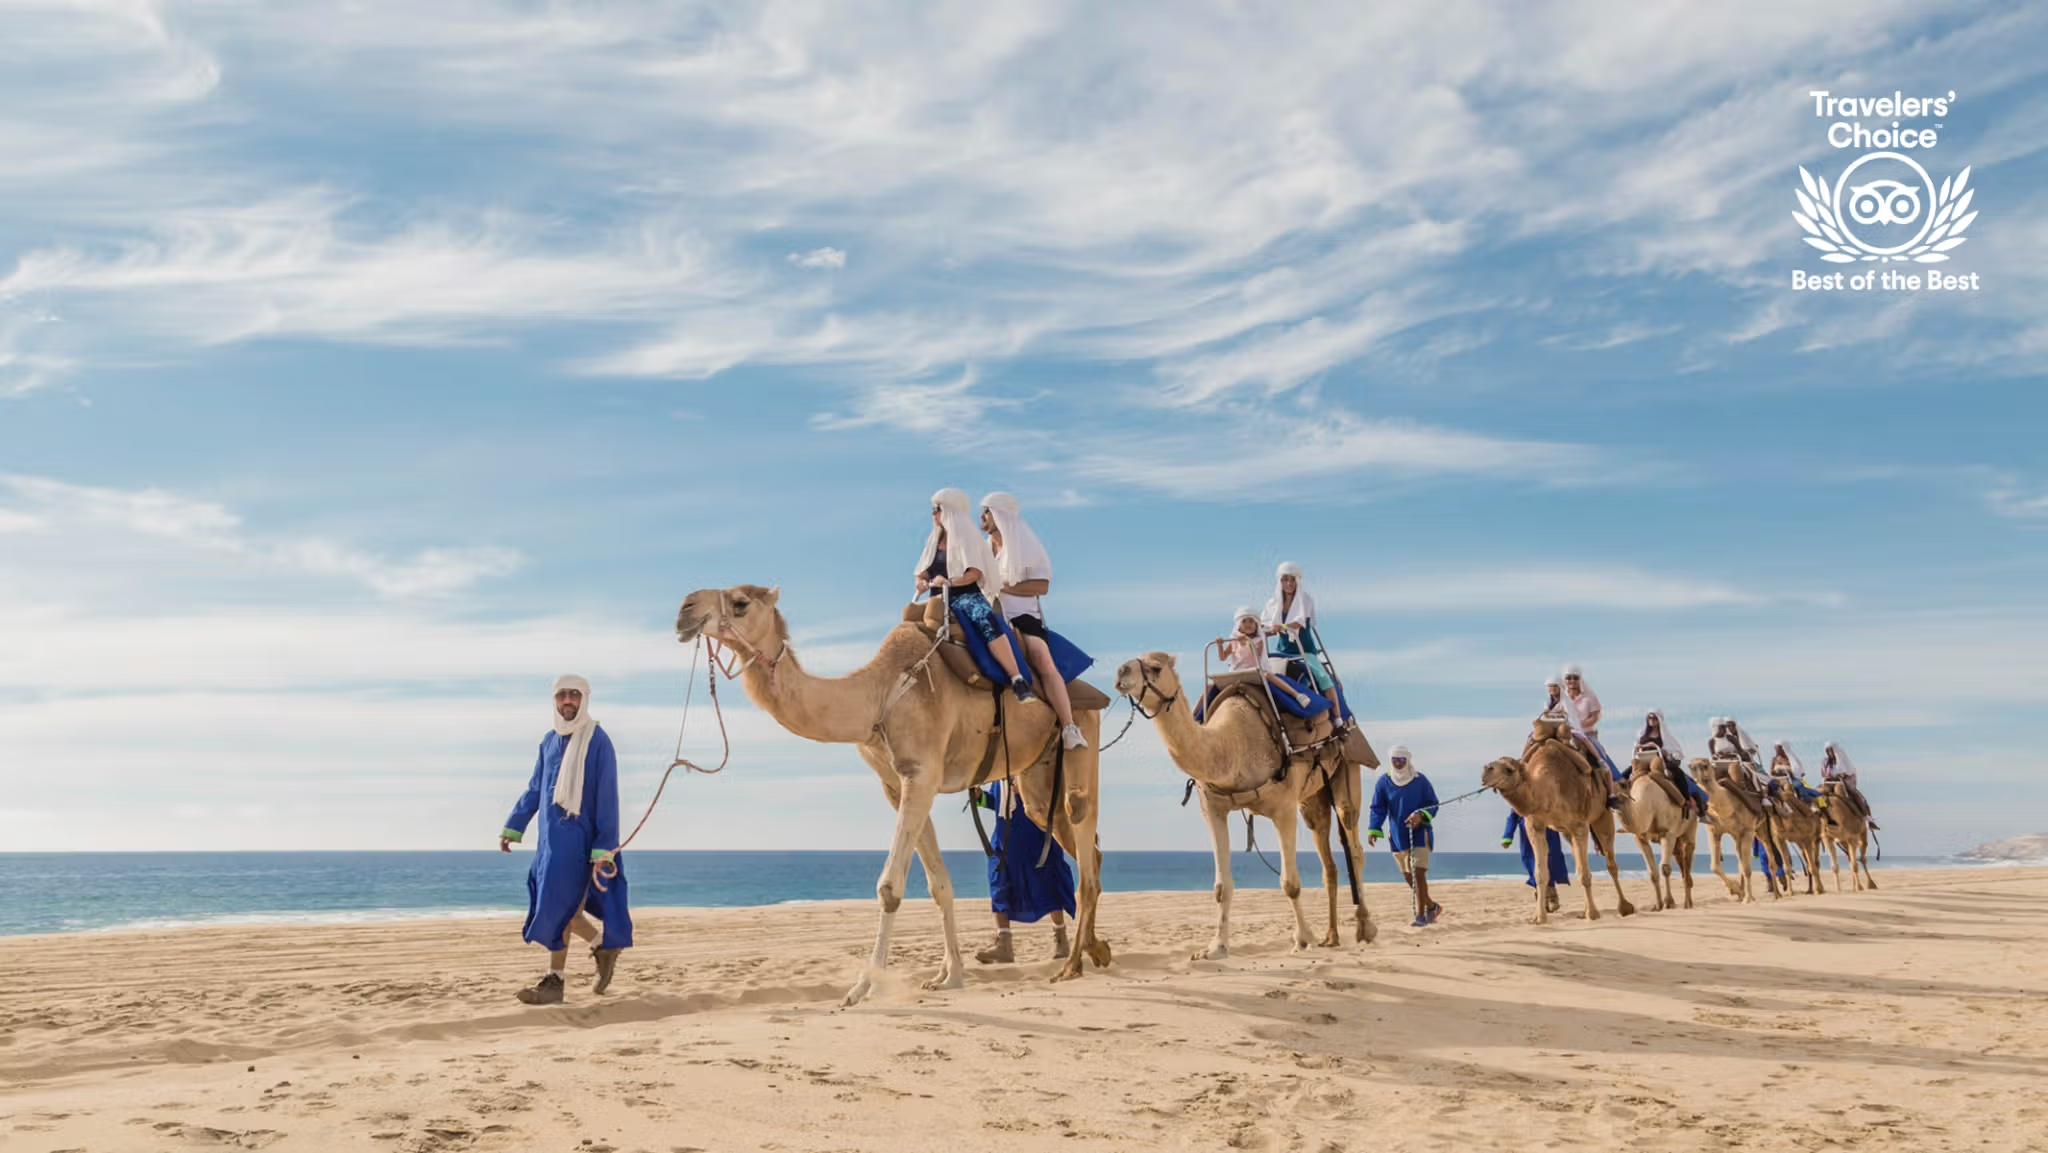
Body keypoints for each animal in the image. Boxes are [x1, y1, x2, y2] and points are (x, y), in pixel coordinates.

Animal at [674, 585, 1111, 1006]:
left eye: (740, 603)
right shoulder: (897, 784)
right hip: (1036, 779)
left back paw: (1071, 965)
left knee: (1081, 832)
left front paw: (862, 987)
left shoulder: (921, 774)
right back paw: (1096, 949)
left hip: (1080, 735)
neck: (880, 695)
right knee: (1083, 846)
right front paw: (950, 977)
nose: (684, 610)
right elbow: (939, 885)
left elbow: (889, 888)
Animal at [1113, 654, 1377, 959]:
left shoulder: (1283, 808)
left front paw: (1302, 939)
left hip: (1347, 765)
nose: (1121, 671)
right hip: (1312, 797)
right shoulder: (1212, 808)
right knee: (1327, 855)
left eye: (1155, 667)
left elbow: (1290, 883)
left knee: (1354, 843)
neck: (1232, 746)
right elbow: (1221, 886)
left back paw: (1365, 929)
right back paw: (1331, 937)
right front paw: (1215, 947)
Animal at [1479, 719, 1636, 925]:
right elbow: (1541, 873)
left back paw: (1625, 907)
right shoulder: (1535, 825)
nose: (1486, 769)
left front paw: (1593, 914)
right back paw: (1584, 910)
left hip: (1602, 815)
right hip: (1567, 831)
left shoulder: (1579, 824)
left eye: (1509, 769)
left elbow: (1584, 873)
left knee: (1611, 862)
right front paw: (1539, 917)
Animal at [1618, 745, 1698, 910]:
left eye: (1624, 785)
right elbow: (1652, 873)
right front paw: (1658, 904)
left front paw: (1668, 902)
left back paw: (1688, 903)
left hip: (1690, 828)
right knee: (1680, 858)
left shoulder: (1668, 834)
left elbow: (1665, 868)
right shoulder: (1640, 837)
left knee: (1688, 857)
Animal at [1690, 758, 1782, 902]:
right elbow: (1715, 866)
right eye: (1690, 765)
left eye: (1705, 765)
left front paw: (1748, 899)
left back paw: (1777, 894)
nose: (1693, 770)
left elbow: (1747, 868)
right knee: (1741, 861)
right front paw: (1737, 891)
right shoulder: (1713, 830)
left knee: (1771, 856)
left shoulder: (1748, 830)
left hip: (1763, 827)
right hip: (1738, 836)